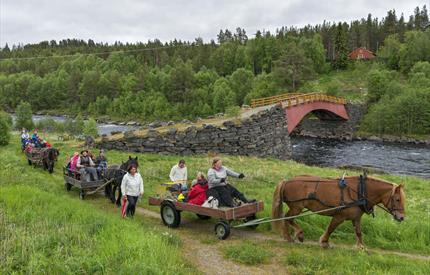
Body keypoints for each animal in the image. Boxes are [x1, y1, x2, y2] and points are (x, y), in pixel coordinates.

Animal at [272, 176, 406, 249]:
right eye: (397, 199)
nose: (402, 217)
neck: (360, 191)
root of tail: (286, 181)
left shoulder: (356, 218)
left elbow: (359, 233)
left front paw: (362, 247)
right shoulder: (339, 216)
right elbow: (330, 229)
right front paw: (324, 242)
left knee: (286, 218)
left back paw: (288, 236)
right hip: (296, 207)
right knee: (287, 218)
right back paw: (296, 235)